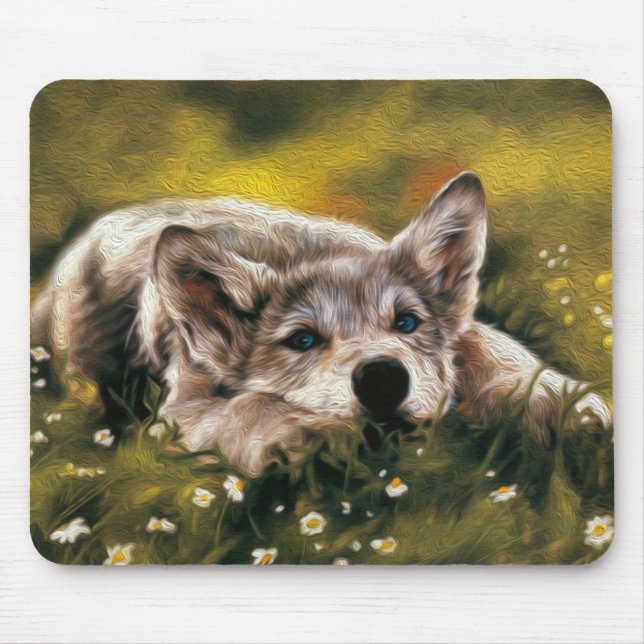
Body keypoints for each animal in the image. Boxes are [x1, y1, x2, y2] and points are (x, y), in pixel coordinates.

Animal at [31, 172, 610, 476]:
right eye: (302, 340)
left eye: (407, 322)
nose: (383, 378)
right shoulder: (183, 407)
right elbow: (245, 408)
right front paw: (299, 433)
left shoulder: (464, 333)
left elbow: (489, 346)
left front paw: (555, 400)